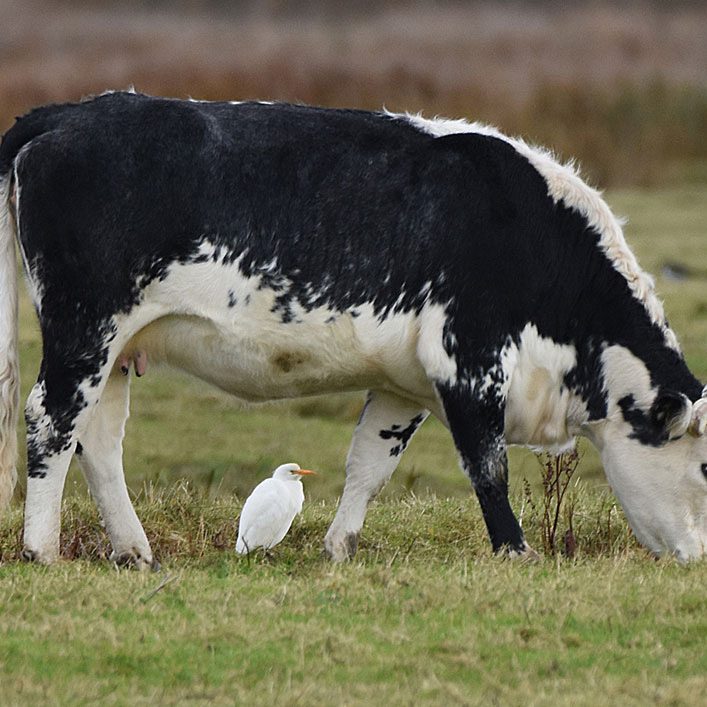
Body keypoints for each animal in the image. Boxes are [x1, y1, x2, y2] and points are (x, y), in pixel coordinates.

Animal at [0, 92, 704, 568]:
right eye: (702, 467)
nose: (697, 561)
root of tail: (65, 114)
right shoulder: (466, 359)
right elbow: (488, 467)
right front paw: (515, 551)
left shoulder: (405, 382)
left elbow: (370, 463)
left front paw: (339, 548)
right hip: (84, 329)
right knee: (50, 420)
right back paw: (42, 549)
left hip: (119, 348)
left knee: (98, 439)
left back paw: (134, 551)